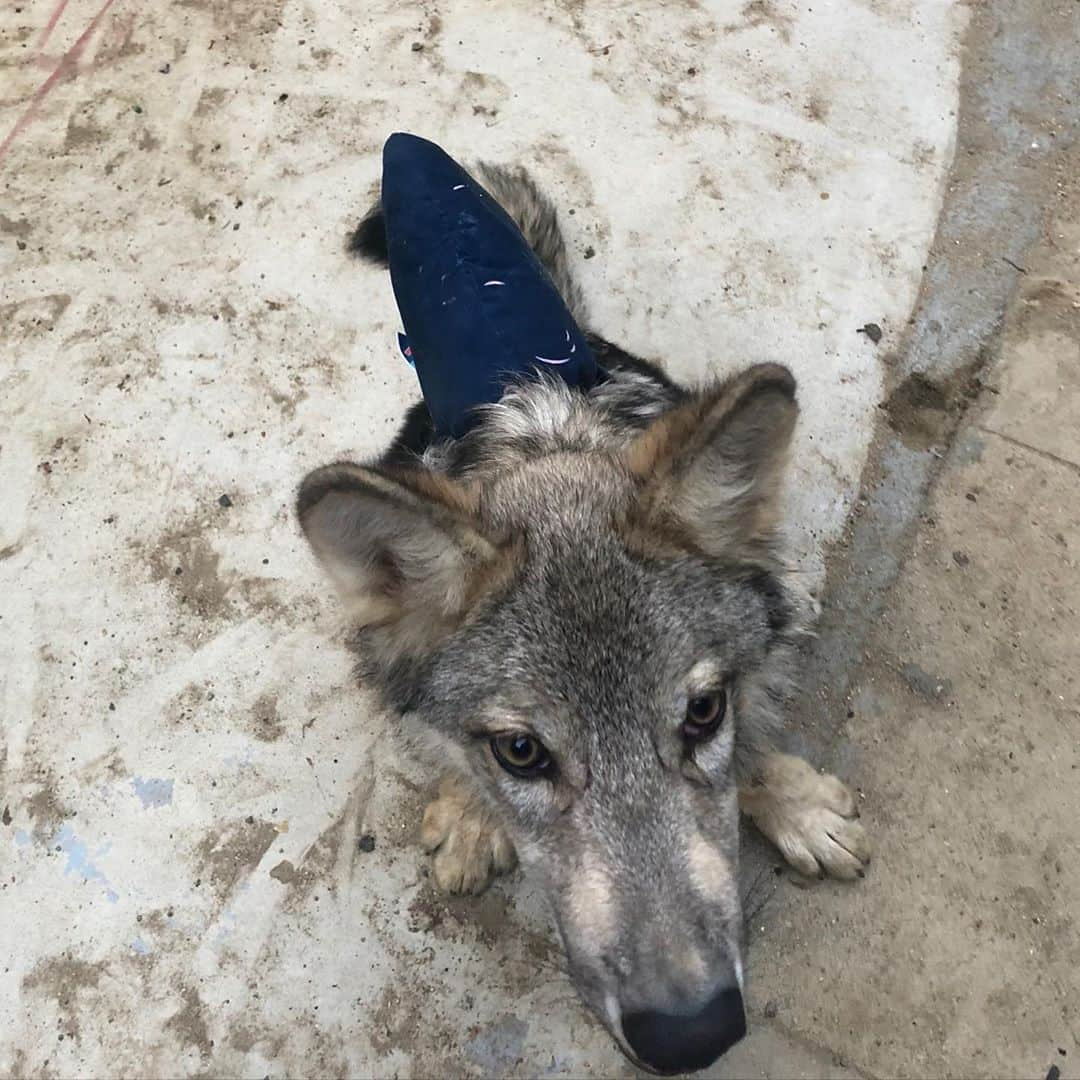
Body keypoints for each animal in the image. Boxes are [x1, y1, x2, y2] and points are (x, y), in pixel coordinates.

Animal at [295, 159, 868, 1071]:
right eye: (521, 753)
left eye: (703, 713)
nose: (694, 1035)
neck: (545, 435)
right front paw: (473, 815)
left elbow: (759, 744)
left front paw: (796, 806)